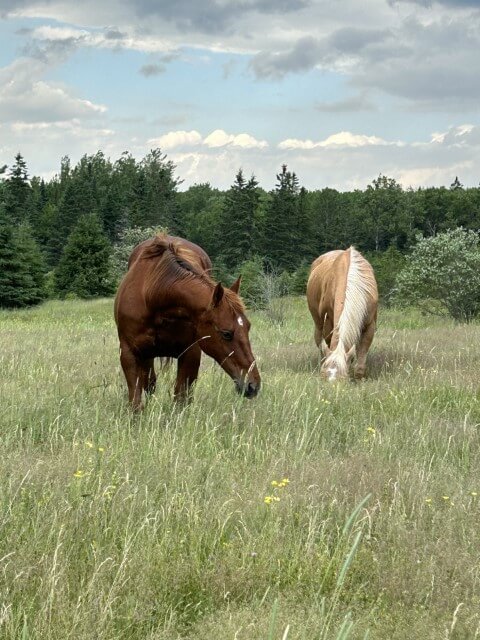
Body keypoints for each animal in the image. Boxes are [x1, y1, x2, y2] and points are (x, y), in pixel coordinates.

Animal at [114, 234, 261, 409]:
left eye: (248, 327)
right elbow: (136, 401)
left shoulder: (190, 353)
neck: (153, 294)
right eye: (226, 333)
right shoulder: (129, 354)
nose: (253, 385)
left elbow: (181, 399)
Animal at [306, 247, 378, 381]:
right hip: (318, 323)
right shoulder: (329, 321)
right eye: (323, 376)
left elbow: (360, 361)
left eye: (342, 379)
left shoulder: (370, 325)